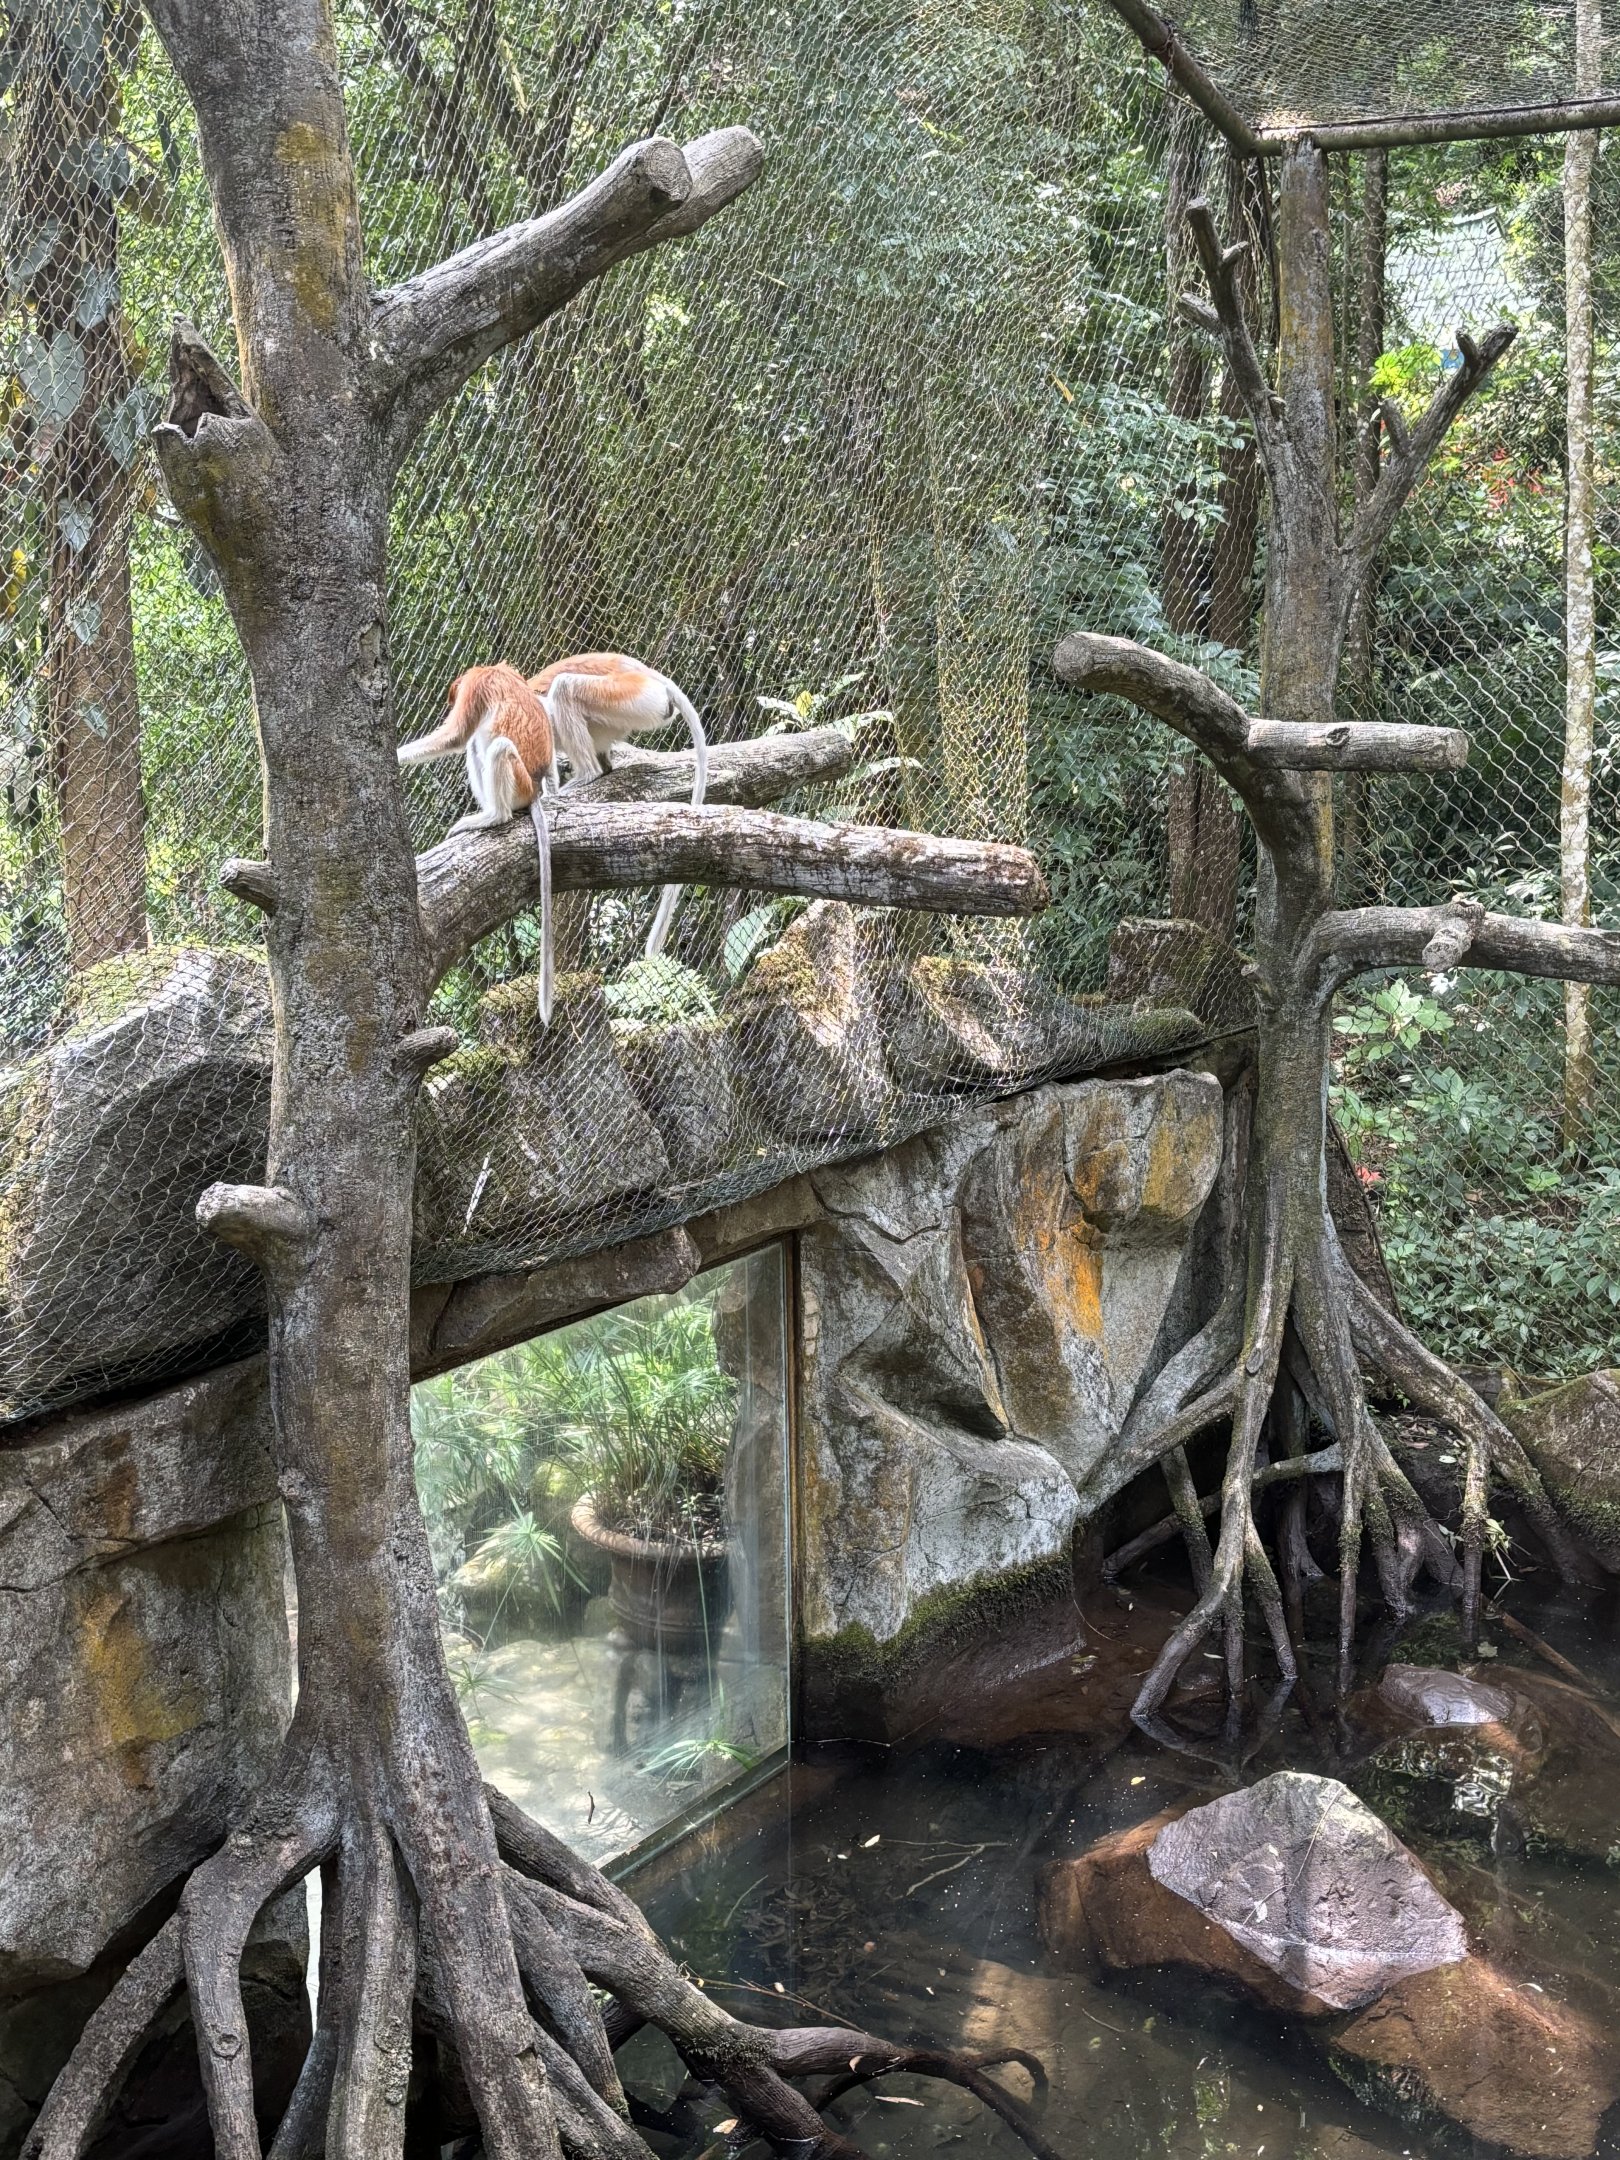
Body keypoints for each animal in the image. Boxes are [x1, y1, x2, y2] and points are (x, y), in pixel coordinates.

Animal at [397, 662, 560, 1023]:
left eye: (453, 695)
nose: (449, 699)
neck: (491, 669)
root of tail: (534, 789)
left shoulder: (476, 687)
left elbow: (456, 736)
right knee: (477, 745)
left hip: (516, 782)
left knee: (492, 746)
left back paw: (492, 816)